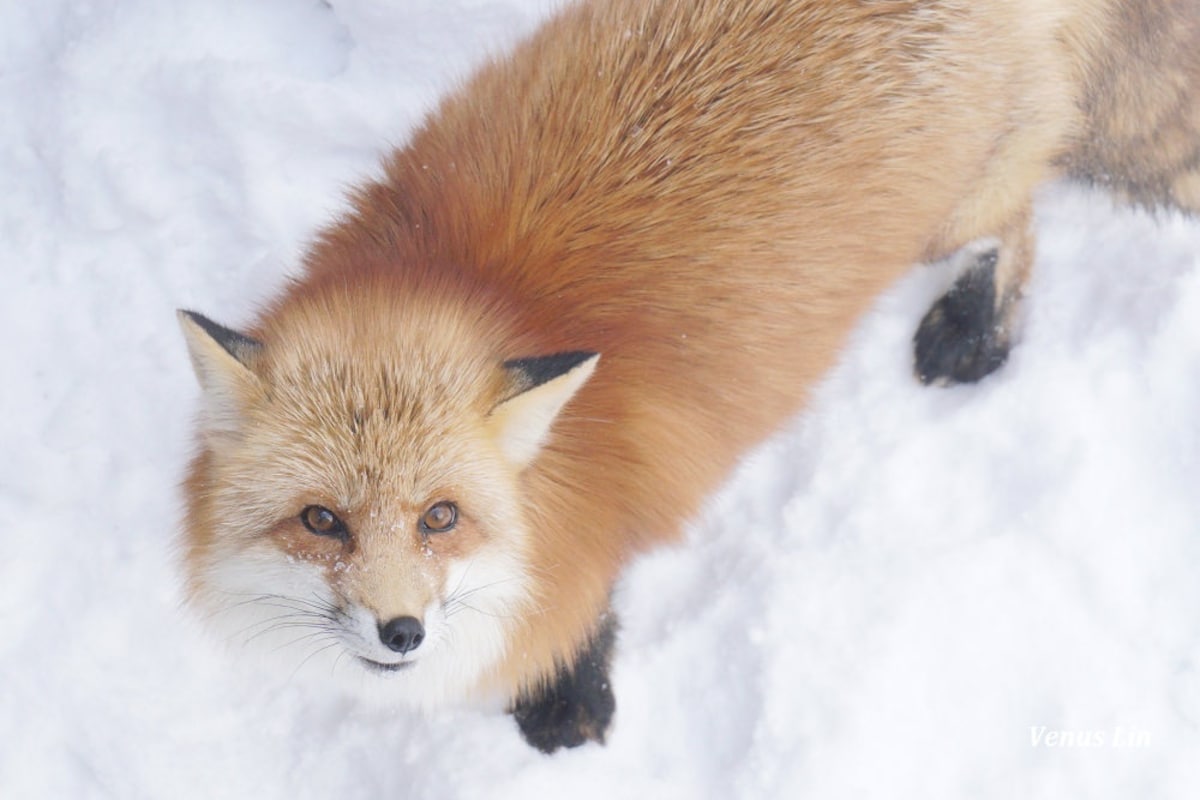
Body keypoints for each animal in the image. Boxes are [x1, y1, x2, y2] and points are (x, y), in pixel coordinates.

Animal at [180, 0, 1200, 753]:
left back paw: (975, 329)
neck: (479, 290)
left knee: (1023, 215)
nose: (403, 633)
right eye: (321, 521)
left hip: (948, 215)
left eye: (441, 517)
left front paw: (565, 698)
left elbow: (587, 611)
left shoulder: (597, 530)